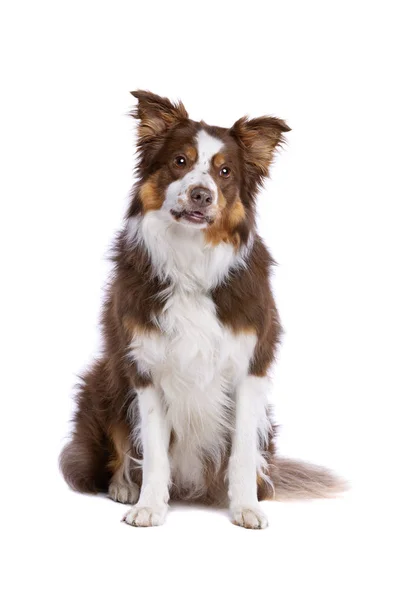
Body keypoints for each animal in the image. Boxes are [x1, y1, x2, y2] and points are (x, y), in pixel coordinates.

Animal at [59, 91, 344, 528]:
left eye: (224, 172)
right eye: (180, 161)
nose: (201, 194)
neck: (190, 263)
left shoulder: (250, 368)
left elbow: (242, 452)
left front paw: (245, 507)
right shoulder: (146, 370)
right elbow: (153, 452)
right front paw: (150, 506)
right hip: (104, 380)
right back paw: (124, 486)